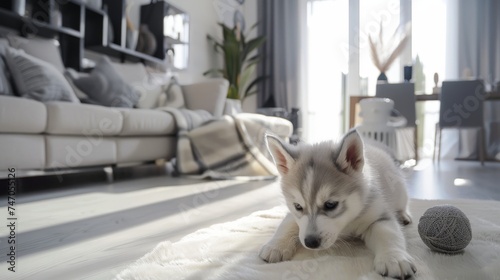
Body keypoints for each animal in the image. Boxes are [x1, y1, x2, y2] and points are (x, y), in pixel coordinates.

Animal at [260, 130, 416, 278]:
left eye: (330, 204)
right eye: (297, 206)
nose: (310, 242)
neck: (347, 223)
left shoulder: (379, 216)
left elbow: (388, 234)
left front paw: (394, 258)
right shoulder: (293, 216)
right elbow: (286, 225)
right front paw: (274, 246)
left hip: (400, 191)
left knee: (403, 203)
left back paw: (404, 215)